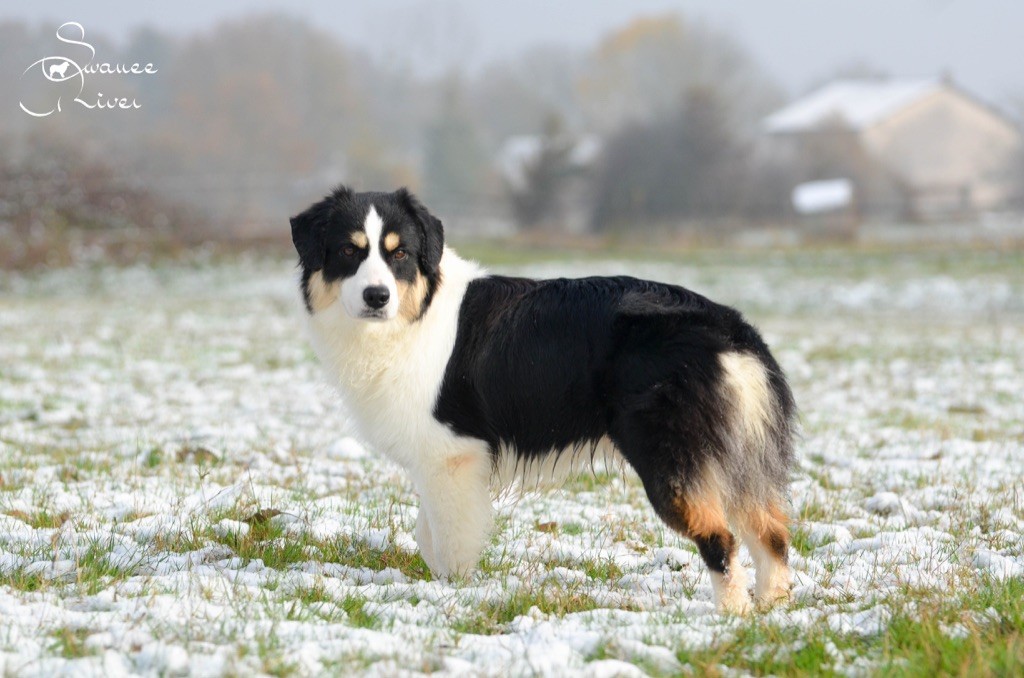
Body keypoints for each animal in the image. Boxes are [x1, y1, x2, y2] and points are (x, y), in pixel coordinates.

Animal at [291, 186, 796, 613]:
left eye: (399, 254)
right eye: (349, 251)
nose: (377, 296)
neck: (415, 314)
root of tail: (730, 330)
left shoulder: (453, 453)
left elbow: (448, 538)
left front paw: (452, 594)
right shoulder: (440, 460)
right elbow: (427, 531)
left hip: (668, 459)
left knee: (722, 537)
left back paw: (731, 615)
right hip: (743, 456)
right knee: (771, 534)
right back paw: (772, 609)